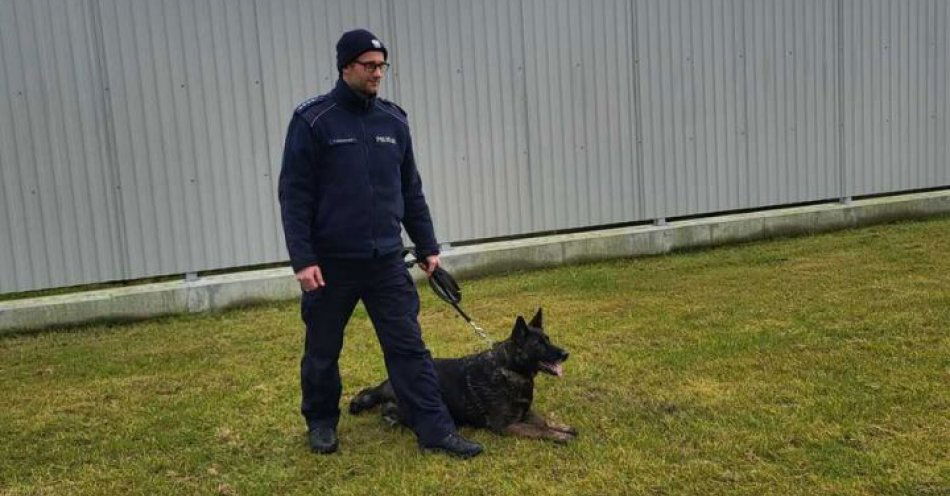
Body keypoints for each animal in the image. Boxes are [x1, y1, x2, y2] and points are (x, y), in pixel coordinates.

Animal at [352, 308, 580, 444]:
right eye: (539, 345)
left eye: (548, 339)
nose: (565, 354)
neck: (509, 367)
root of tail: (387, 384)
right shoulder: (506, 425)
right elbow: (540, 430)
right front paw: (560, 435)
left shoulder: (525, 412)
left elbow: (543, 421)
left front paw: (562, 427)